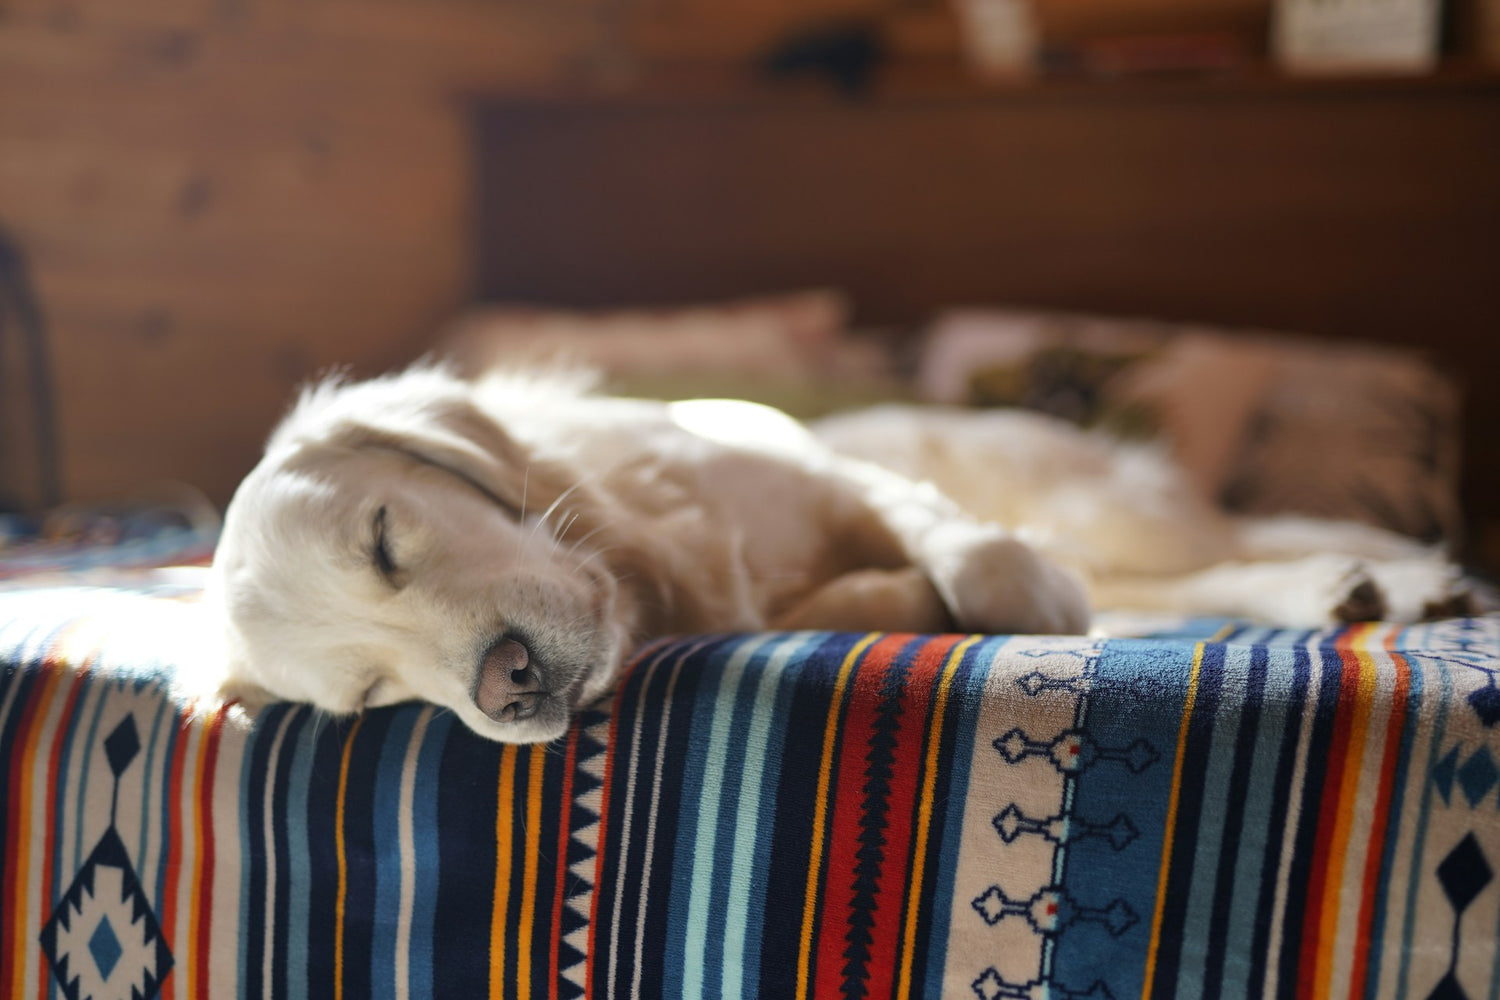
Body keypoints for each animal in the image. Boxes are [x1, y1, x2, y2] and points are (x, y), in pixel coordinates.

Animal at [211, 367, 1476, 743]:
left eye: (385, 541)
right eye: (372, 696)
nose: (506, 687)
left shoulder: (826, 474)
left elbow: (976, 560)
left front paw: (1000, 589)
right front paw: (899, 592)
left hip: (1108, 502)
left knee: (1217, 549)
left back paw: (1393, 570)